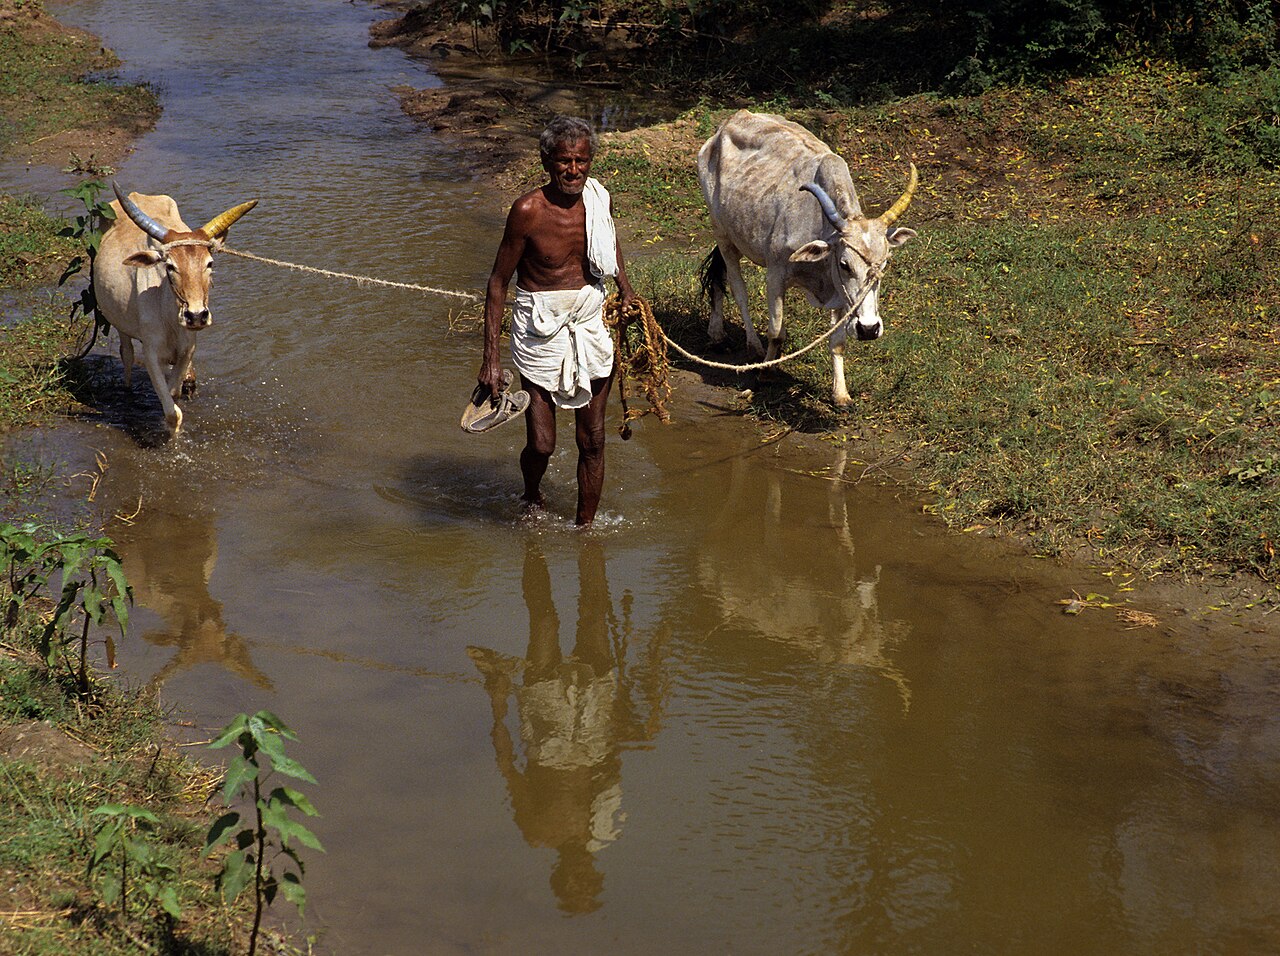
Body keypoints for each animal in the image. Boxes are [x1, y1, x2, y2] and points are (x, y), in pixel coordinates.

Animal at [92, 183, 257, 433]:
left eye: (209, 263)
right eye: (170, 266)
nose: (196, 316)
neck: (169, 315)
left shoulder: (187, 348)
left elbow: (174, 391)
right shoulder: (151, 353)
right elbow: (172, 413)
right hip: (119, 323)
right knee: (127, 354)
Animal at [697, 109, 917, 407]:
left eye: (885, 264)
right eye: (845, 264)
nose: (869, 329)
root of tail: (730, 121)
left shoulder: (841, 295)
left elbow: (837, 342)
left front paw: (840, 394)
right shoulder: (776, 276)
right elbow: (776, 332)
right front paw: (766, 372)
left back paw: (717, 333)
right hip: (722, 233)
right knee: (736, 286)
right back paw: (750, 345)